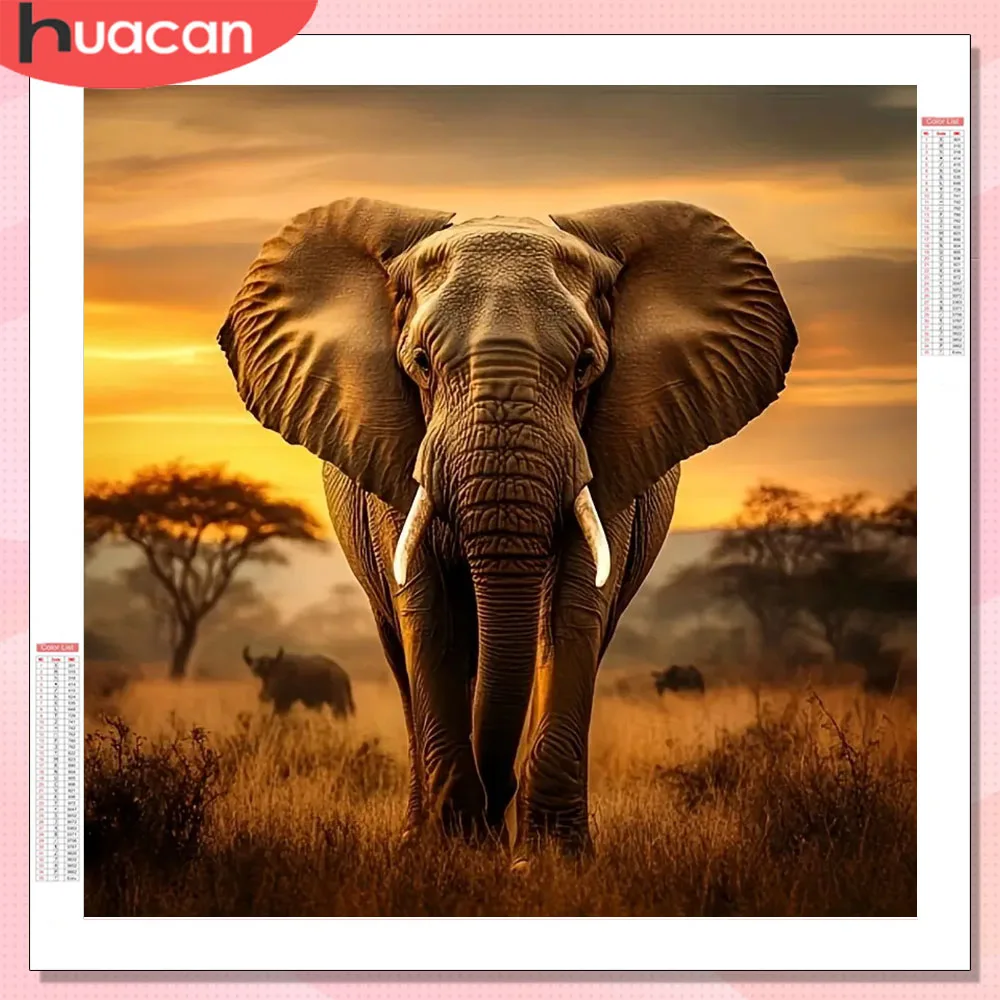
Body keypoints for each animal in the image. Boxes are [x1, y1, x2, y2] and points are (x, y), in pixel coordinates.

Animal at [218, 196, 796, 862]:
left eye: (585, 367)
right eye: (420, 364)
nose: (498, 808)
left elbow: (572, 613)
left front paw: (549, 860)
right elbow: (427, 615)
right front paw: (454, 850)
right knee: (404, 655)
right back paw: (422, 833)